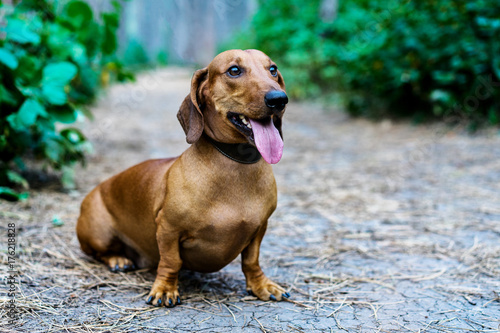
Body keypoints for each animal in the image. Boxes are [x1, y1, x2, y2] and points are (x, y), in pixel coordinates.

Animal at [76, 48, 292, 306]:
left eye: (273, 69)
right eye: (234, 70)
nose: (279, 99)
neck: (235, 167)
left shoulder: (259, 229)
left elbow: (251, 261)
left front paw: (261, 285)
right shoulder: (168, 229)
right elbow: (171, 262)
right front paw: (165, 289)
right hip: (98, 233)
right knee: (98, 252)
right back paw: (118, 259)